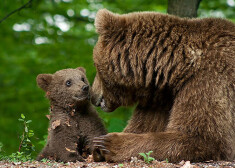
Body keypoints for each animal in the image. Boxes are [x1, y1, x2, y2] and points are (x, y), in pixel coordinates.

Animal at [91, 9, 235, 163]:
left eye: (95, 66)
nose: (93, 96)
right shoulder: (162, 99)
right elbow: (144, 125)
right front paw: (98, 148)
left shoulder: (210, 80)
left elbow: (203, 138)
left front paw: (107, 143)